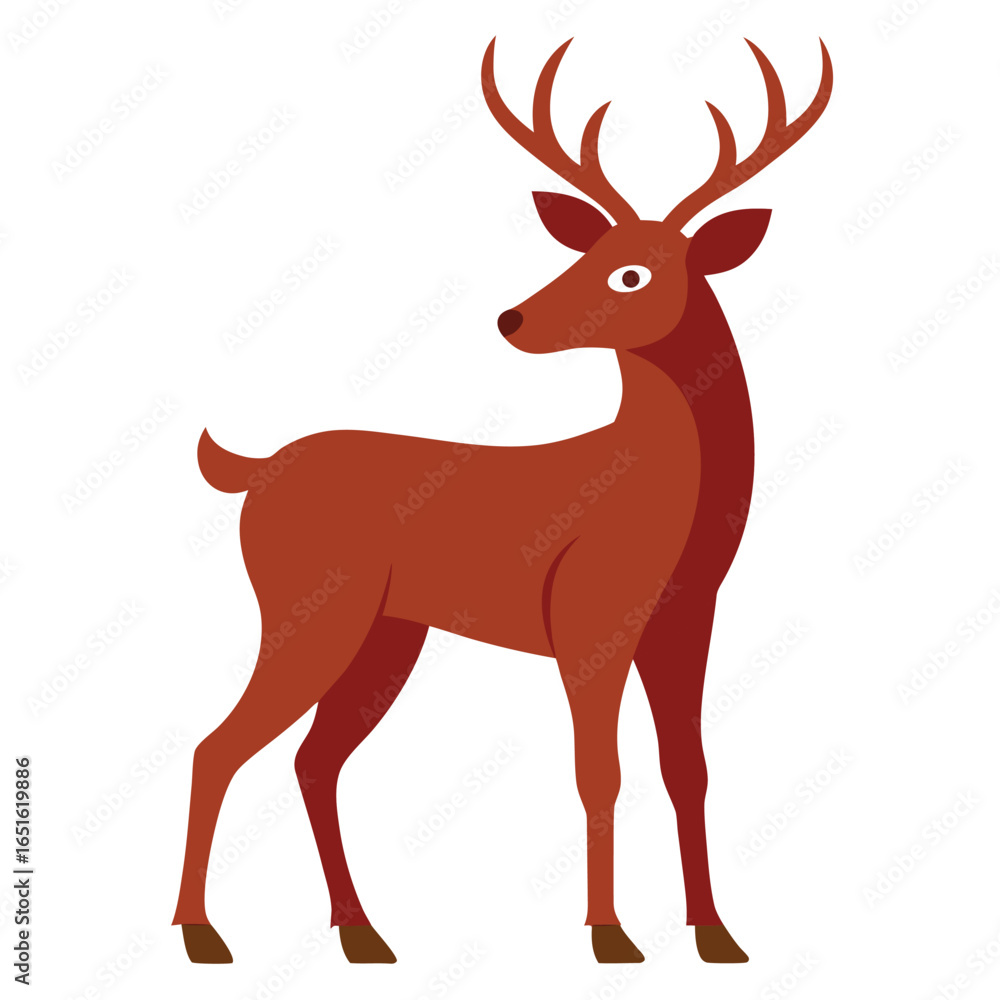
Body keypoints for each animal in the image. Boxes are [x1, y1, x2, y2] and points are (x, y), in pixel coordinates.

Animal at [173, 35, 832, 967]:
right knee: (216, 745)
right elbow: (600, 770)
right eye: (582, 254)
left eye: (632, 272)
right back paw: (204, 935)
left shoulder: (689, 614)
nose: (513, 319)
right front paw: (610, 936)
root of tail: (254, 469)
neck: (657, 492)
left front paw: (717, 935)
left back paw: (362, 934)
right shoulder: (591, 616)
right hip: (309, 609)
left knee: (313, 759)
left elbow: (689, 769)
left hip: (387, 633)